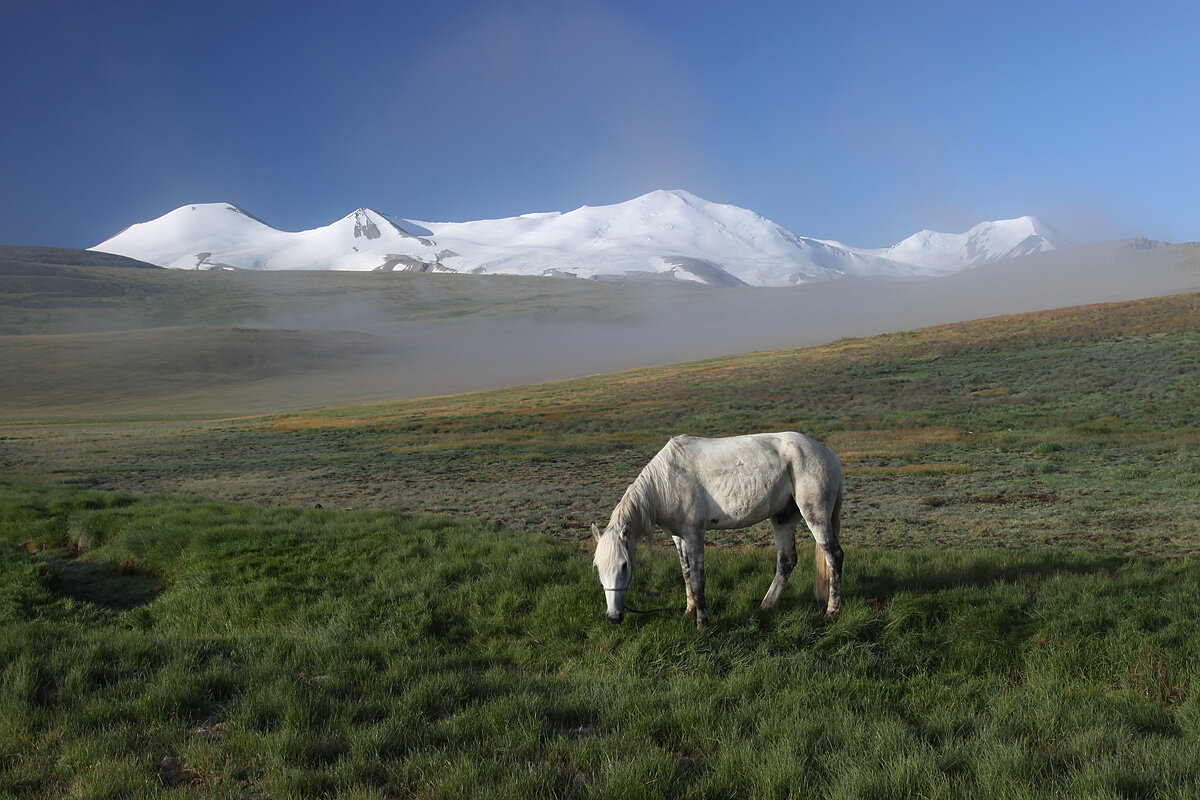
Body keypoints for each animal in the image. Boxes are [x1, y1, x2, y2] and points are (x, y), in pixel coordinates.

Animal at [592, 431, 844, 633]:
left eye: (625, 565)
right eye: (597, 567)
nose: (613, 617)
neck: (666, 481)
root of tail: (829, 454)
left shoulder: (694, 535)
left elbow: (697, 580)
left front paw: (703, 622)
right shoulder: (678, 537)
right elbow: (686, 574)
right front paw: (689, 610)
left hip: (815, 515)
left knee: (834, 556)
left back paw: (832, 611)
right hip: (783, 518)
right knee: (787, 561)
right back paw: (766, 605)